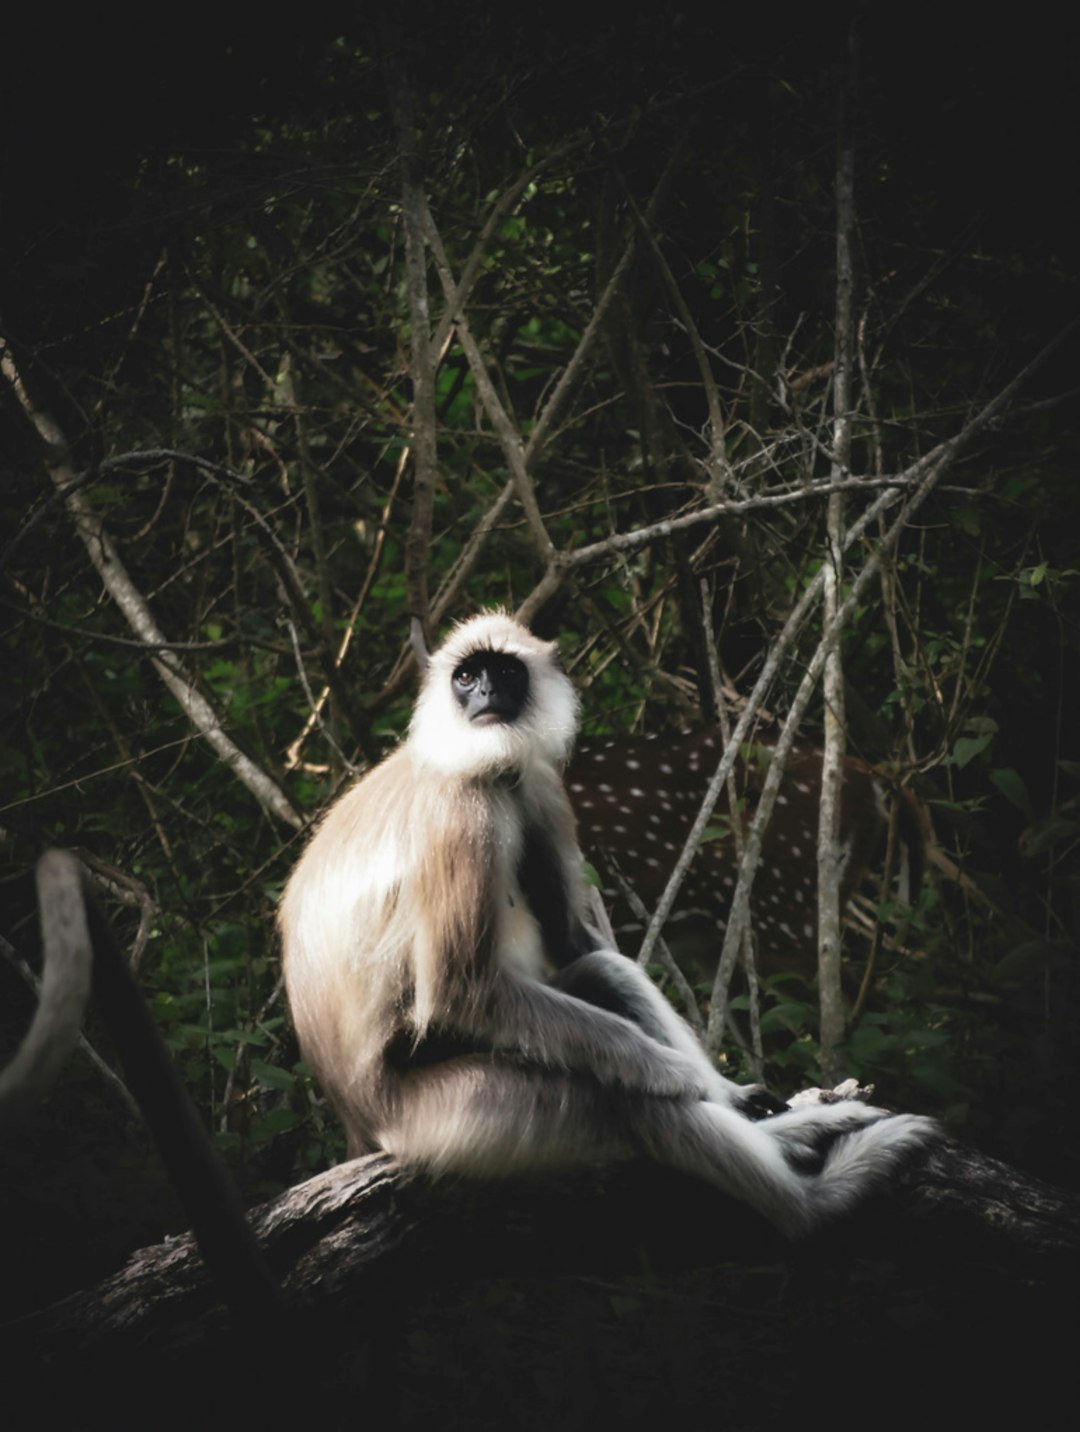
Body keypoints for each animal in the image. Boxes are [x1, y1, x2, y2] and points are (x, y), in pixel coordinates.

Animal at [279, 611, 938, 1237]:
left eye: (505, 671)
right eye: (466, 676)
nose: (485, 692)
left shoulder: (536, 786)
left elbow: (572, 943)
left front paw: (718, 1089)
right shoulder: (459, 811)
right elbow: (462, 989)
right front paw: (680, 1076)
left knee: (605, 976)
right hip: (438, 1117)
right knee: (618, 1096)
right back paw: (810, 1195)